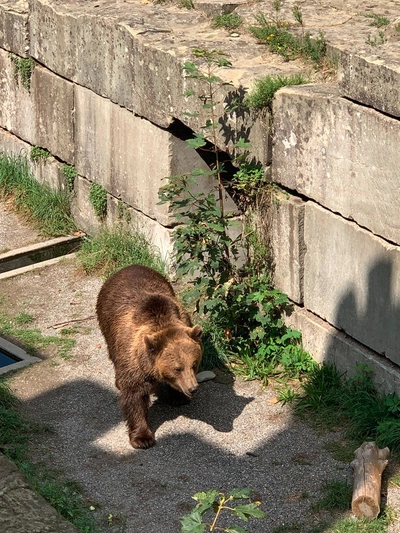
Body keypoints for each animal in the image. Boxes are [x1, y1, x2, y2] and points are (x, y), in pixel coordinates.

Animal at [96, 264, 203, 446]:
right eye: (177, 368)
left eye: (194, 364)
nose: (193, 388)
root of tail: (128, 267)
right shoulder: (131, 357)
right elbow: (134, 395)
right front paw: (142, 438)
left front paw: (178, 397)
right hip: (107, 323)